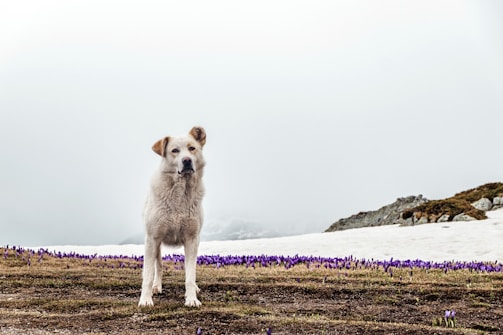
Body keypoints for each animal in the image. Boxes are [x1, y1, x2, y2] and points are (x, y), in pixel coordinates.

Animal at [138, 127, 207, 308]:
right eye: (174, 150)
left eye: (192, 148)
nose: (187, 161)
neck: (180, 192)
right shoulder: (152, 238)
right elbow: (148, 275)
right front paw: (145, 300)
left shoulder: (191, 239)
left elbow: (190, 275)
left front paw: (191, 299)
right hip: (156, 245)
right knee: (159, 267)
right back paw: (156, 287)